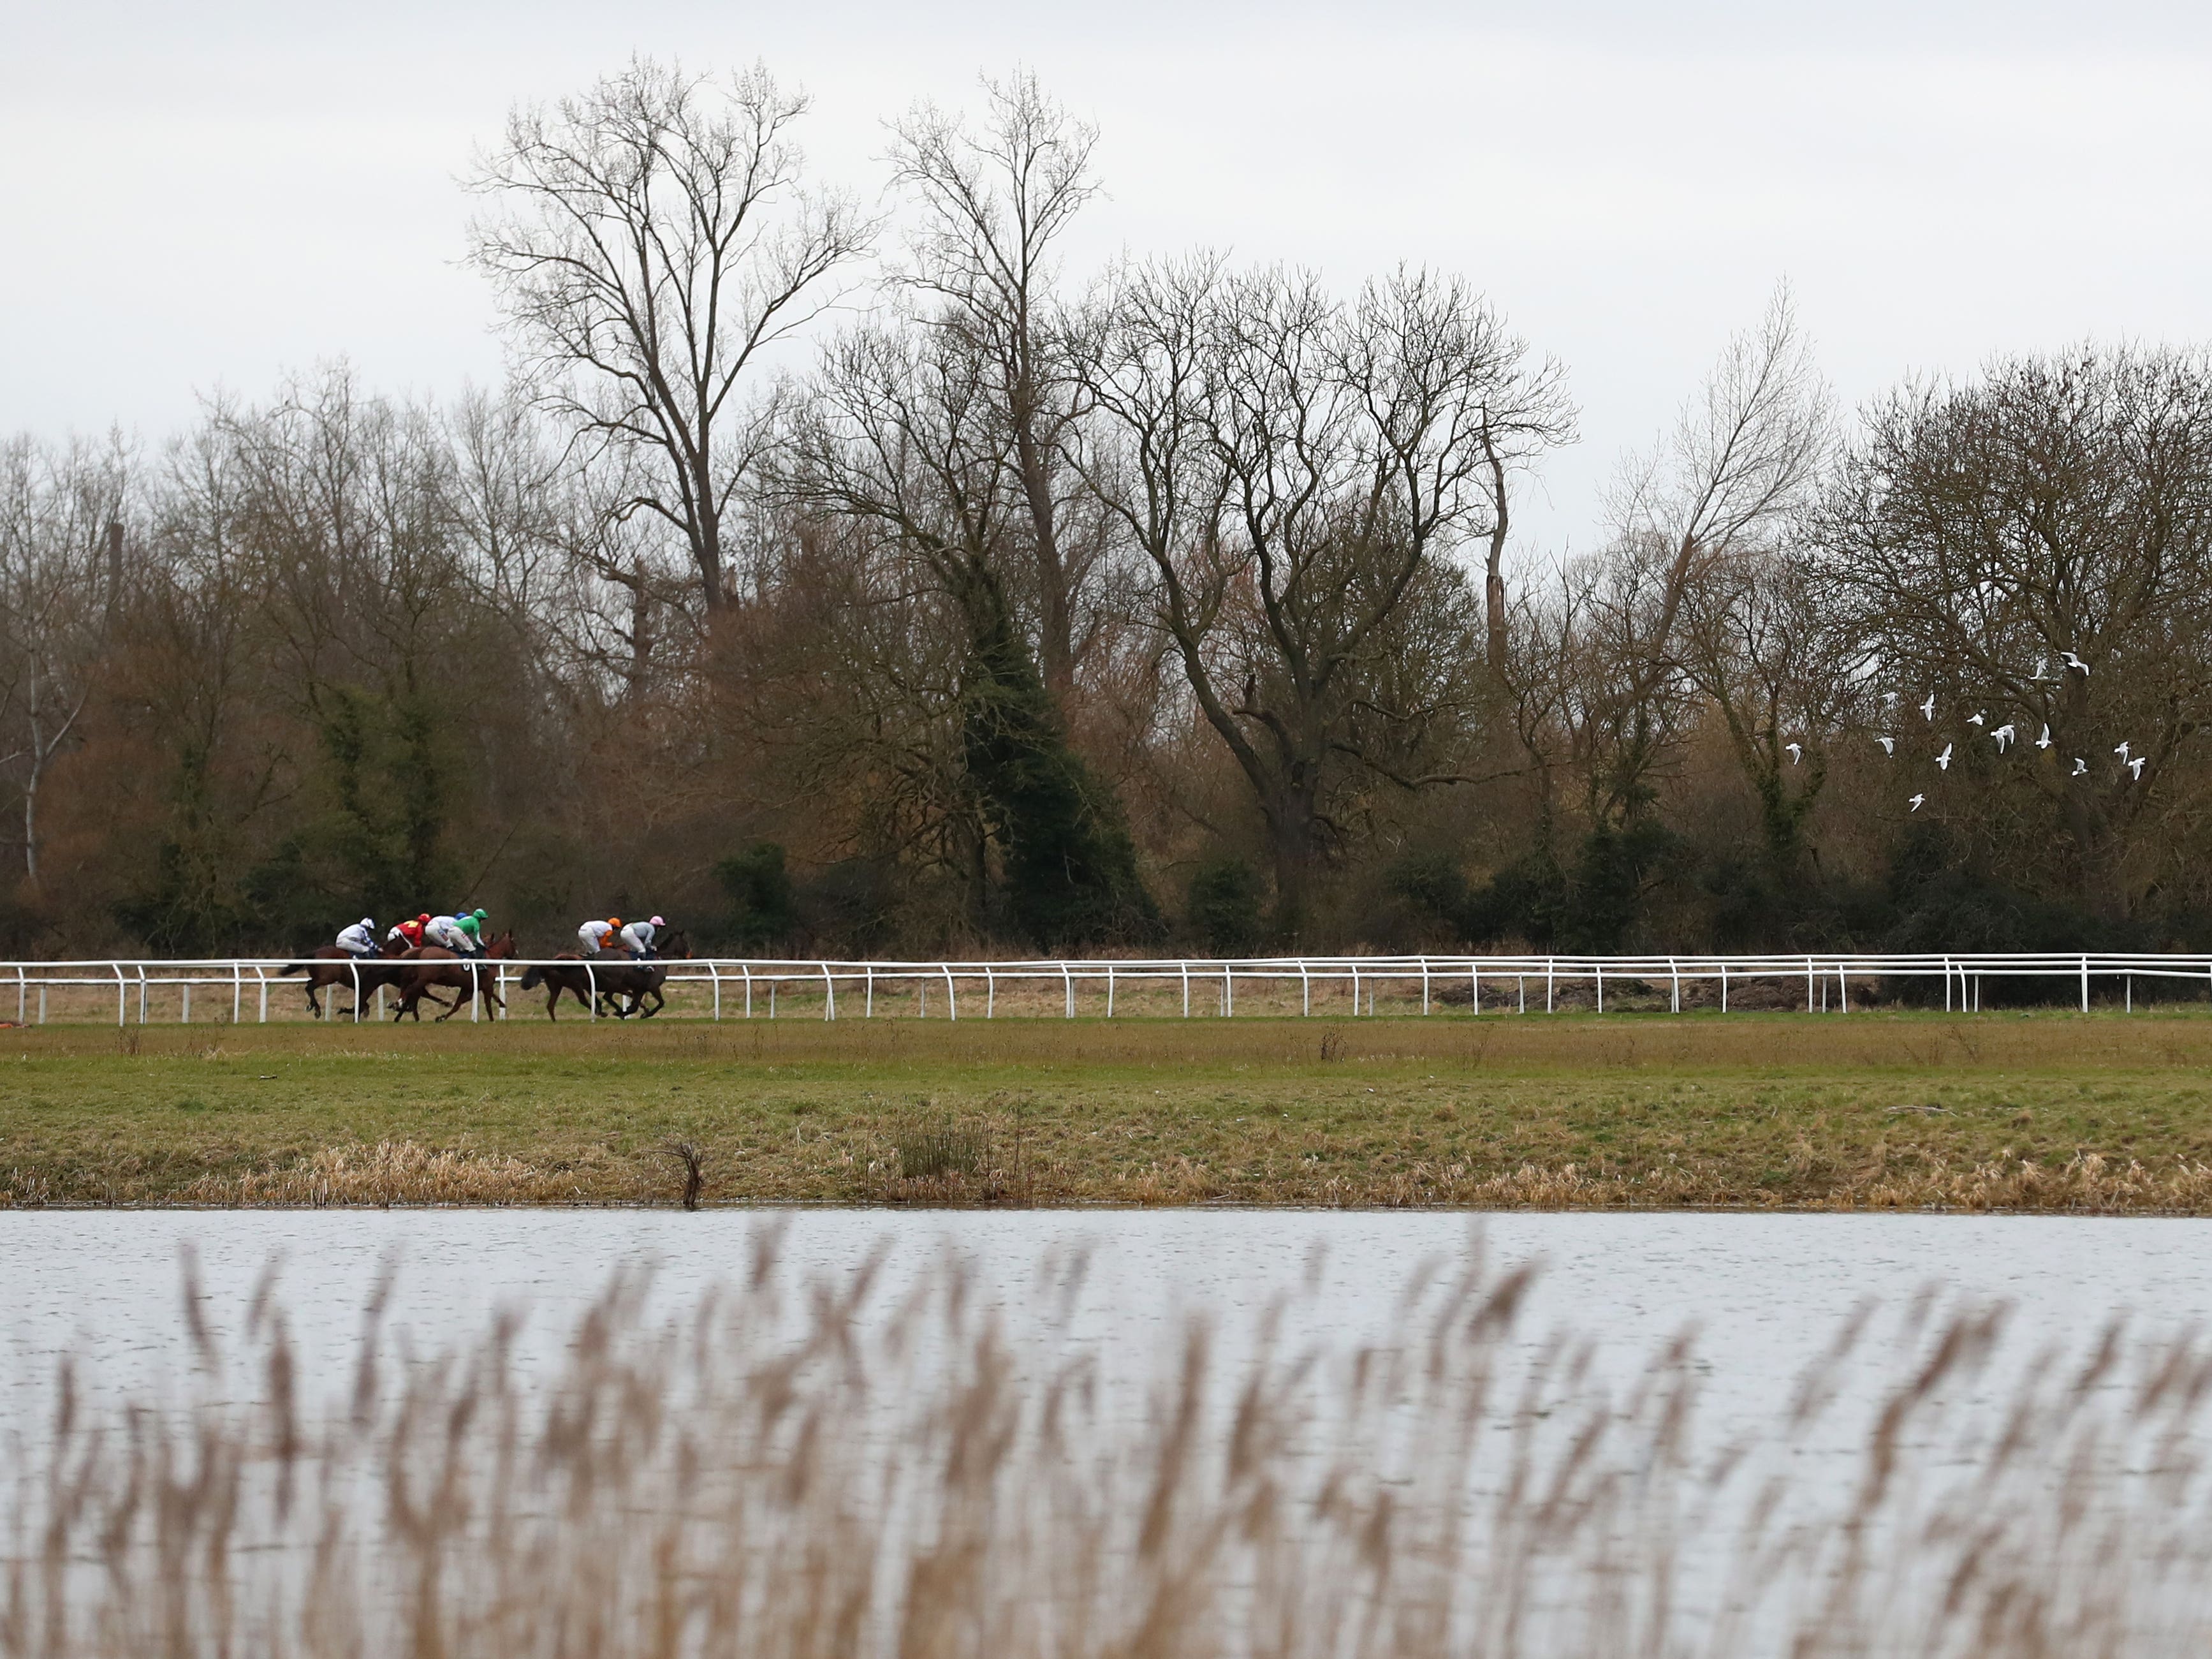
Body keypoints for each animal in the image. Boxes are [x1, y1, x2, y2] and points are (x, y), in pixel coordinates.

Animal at [281, 942, 418, 1022]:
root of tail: (315, 952)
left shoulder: (361, 987)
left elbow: (363, 1005)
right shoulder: (369, 985)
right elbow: (360, 1005)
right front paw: (345, 1011)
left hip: (320, 977)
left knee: (309, 985)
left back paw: (311, 1006)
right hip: (327, 978)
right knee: (309, 987)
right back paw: (317, 1009)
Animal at [393, 938, 517, 1026]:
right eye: (513, 943)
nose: (516, 954)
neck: (489, 958)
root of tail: (422, 950)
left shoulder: (469, 987)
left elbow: (458, 1005)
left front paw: (441, 1018)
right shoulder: (487, 985)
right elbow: (488, 1004)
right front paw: (492, 1020)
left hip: (421, 979)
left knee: (412, 992)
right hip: (425, 978)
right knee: (411, 990)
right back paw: (398, 1005)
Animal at [517, 929, 690, 1022]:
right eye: (686, 944)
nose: (689, 955)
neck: (659, 958)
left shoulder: (639, 989)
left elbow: (635, 1003)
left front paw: (631, 1011)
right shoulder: (652, 987)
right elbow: (660, 1003)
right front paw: (636, 1013)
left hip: (558, 986)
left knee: (552, 1004)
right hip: (595, 983)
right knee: (597, 998)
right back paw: (604, 1011)